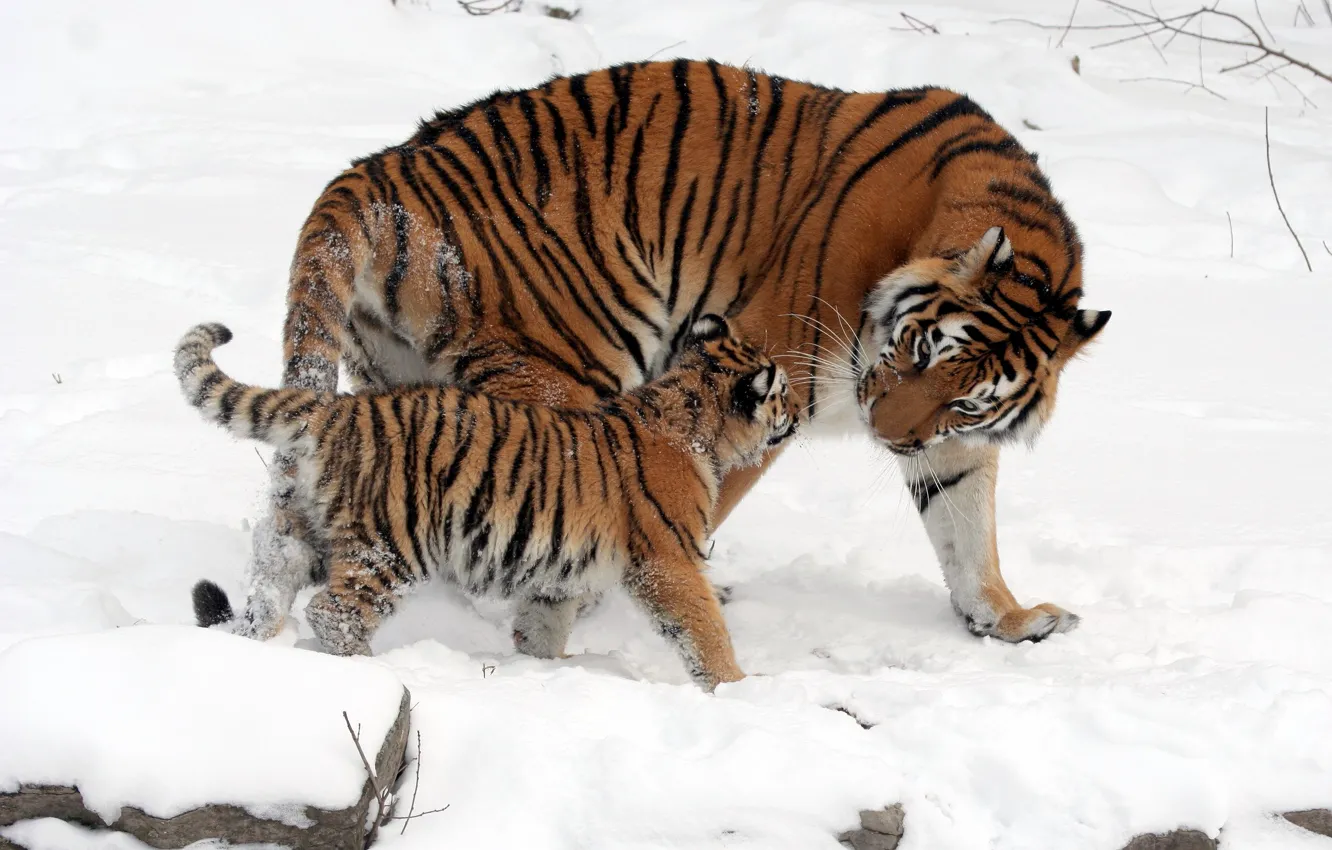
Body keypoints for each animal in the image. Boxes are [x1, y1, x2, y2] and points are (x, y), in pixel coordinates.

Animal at [177, 315, 797, 690]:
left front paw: (547, 667)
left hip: (303, 531)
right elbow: (703, 627)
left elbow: (545, 624)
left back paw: (253, 645)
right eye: (783, 392)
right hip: (391, 544)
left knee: (269, 585)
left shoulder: (560, 572)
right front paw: (738, 688)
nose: (796, 414)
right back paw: (375, 672)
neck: (693, 419)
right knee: (334, 611)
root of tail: (337, 408)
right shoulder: (668, 560)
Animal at [204, 58, 1110, 654]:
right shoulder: (765, 368)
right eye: (920, 348)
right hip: (566, 365)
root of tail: (376, 170)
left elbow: (967, 527)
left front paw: (1006, 619)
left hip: (398, 383)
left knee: (302, 519)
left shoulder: (951, 442)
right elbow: (702, 495)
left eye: (968, 398)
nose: (888, 437)